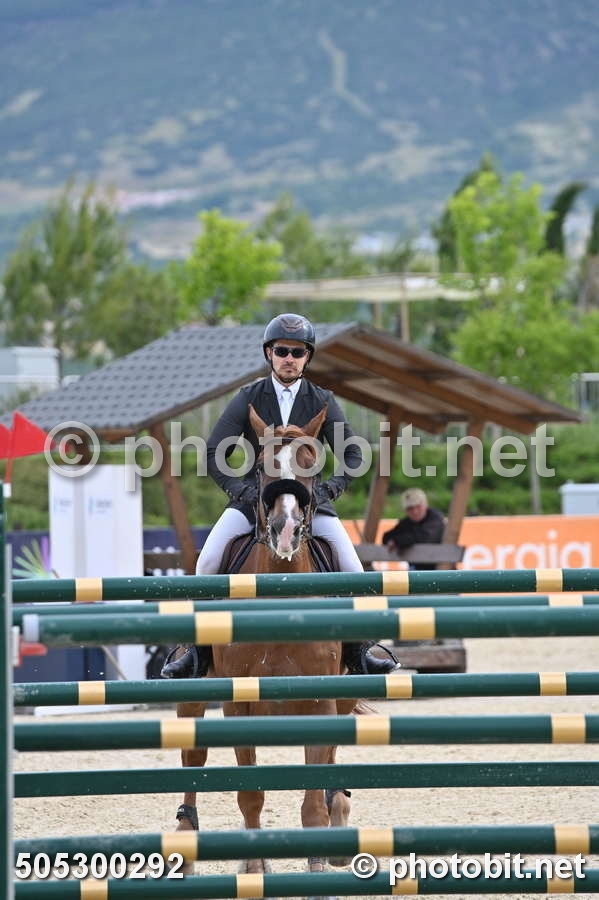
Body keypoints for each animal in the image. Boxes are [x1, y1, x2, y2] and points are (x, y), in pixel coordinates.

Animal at [173, 404, 360, 876]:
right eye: (261, 466)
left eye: (312, 463)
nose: (285, 529)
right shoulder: (239, 704)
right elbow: (250, 793)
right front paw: (255, 866)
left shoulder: (322, 701)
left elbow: (313, 798)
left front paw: (317, 859)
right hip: (192, 695)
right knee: (192, 761)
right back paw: (185, 838)